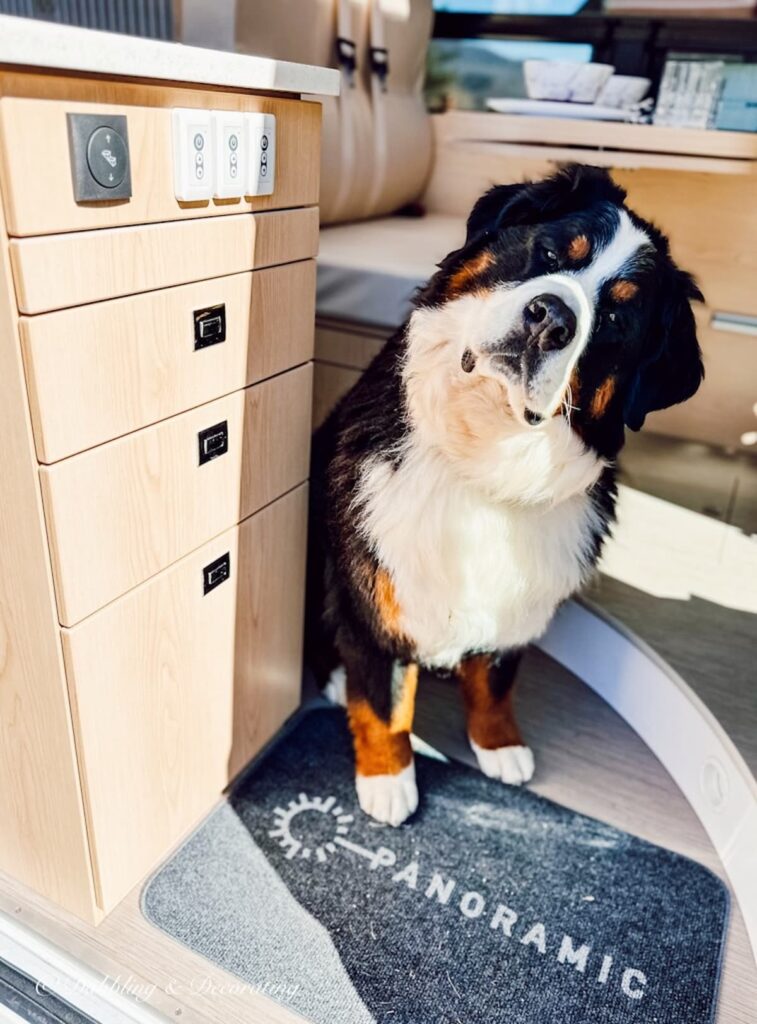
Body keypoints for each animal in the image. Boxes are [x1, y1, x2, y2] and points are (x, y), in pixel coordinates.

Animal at [307, 165, 704, 823]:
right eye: (550, 253)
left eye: (615, 321)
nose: (550, 318)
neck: (486, 453)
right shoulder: (376, 586)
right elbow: (384, 697)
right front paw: (388, 779)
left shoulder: (522, 596)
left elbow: (494, 679)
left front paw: (499, 746)